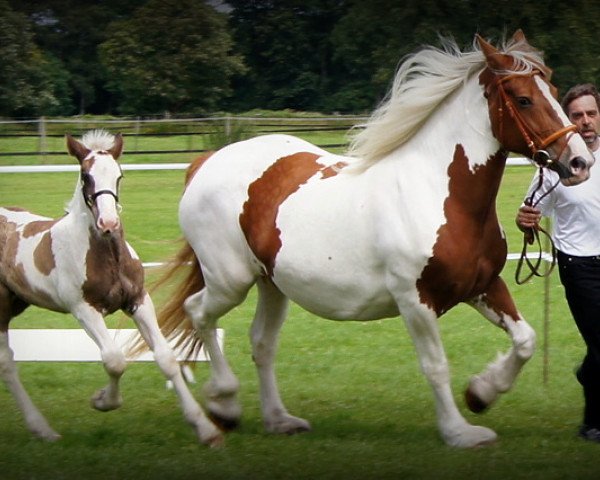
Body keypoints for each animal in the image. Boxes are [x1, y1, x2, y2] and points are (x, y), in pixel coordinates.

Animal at [0, 131, 223, 446]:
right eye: (86, 176)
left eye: (119, 175)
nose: (108, 223)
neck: (106, 255)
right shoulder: (83, 309)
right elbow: (115, 360)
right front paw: (103, 400)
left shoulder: (139, 301)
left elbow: (166, 358)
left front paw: (204, 428)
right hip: (1, 307)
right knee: (6, 363)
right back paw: (42, 429)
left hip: (18, 302)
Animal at [144, 31, 592, 448]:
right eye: (523, 99)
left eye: (555, 93)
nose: (579, 162)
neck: (438, 193)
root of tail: (205, 162)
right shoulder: (416, 301)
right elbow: (435, 366)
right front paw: (459, 431)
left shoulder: (483, 285)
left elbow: (525, 341)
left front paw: (481, 393)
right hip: (230, 281)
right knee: (198, 313)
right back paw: (224, 404)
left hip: (271, 283)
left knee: (262, 343)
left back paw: (279, 420)